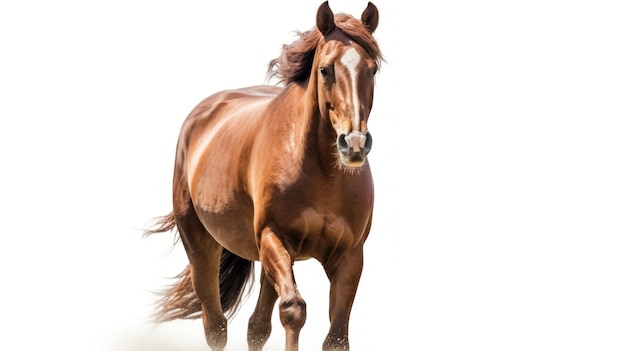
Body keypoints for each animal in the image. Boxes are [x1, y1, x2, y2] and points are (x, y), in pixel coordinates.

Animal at [145, 1, 380, 350]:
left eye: (373, 69)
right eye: (325, 70)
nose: (354, 144)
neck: (322, 172)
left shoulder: (349, 257)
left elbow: (336, 336)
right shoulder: (273, 236)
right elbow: (294, 310)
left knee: (256, 327)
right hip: (202, 246)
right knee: (216, 325)